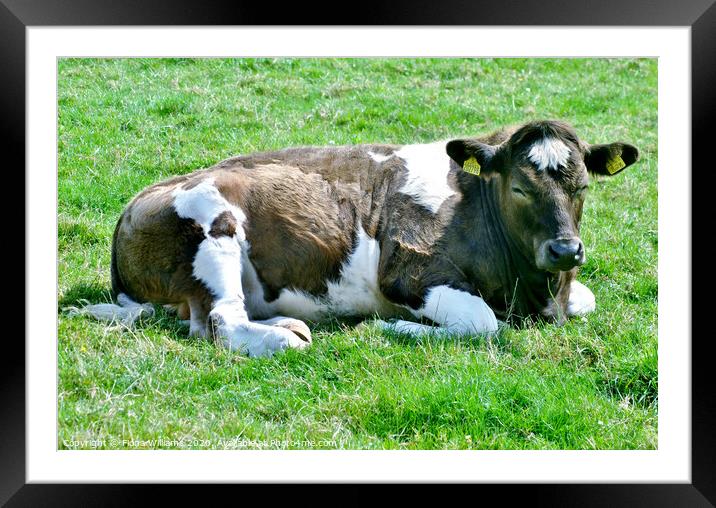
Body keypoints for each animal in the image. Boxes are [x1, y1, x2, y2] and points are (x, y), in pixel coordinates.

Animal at [75, 120, 640, 358]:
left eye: (583, 186)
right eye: (520, 187)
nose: (565, 250)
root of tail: (131, 206)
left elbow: (587, 299)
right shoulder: (409, 273)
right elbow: (483, 325)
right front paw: (397, 328)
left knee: (203, 321)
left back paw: (284, 322)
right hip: (215, 226)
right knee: (220, 322)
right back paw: (286, 338)